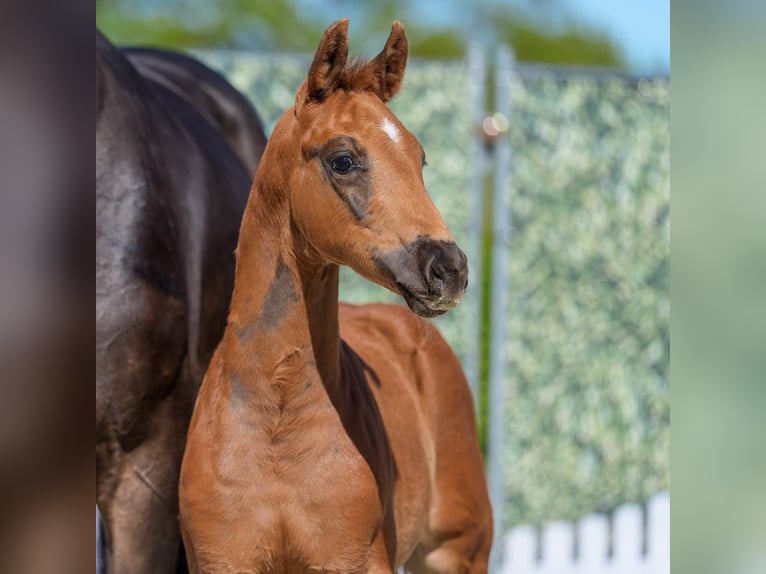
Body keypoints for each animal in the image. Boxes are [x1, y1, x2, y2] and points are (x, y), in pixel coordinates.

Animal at [179, 19, 492, 573]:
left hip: (461, 549)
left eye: (420, 159)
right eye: (343, 160)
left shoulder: (355, 559)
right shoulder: (221, 559)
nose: (448, 269)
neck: (277, 422)